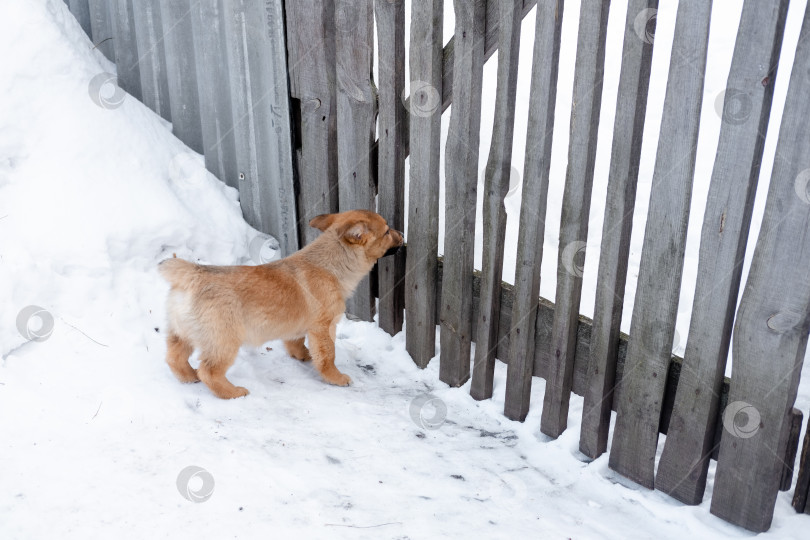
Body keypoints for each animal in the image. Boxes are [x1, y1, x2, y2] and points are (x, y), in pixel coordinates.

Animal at [157, 209, 400, 398]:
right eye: (387, 231)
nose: (402, 236)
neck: (330, 264)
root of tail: (192, 275)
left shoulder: (299, 326)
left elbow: (296, 342)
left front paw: (303, 355)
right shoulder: (323, 327)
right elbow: (328, 355)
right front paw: (335, 377)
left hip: (181, 334)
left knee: (174, 358)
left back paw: (189, 377)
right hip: (224, 342)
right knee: (209, 371)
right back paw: (232, 392)